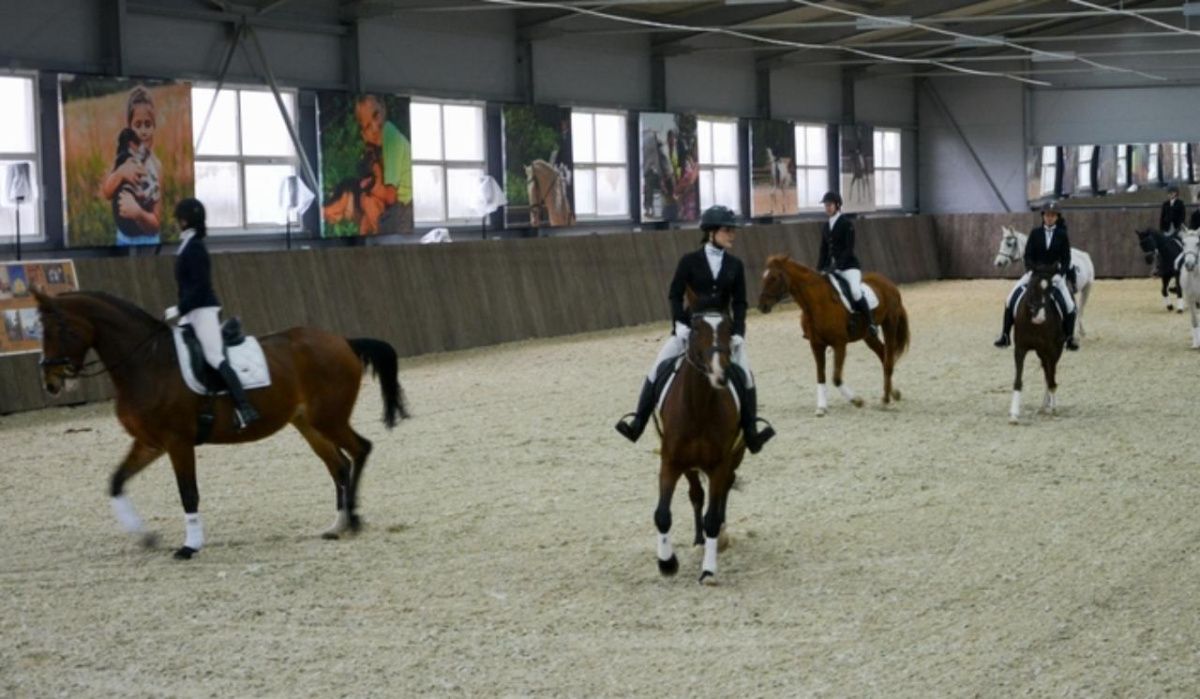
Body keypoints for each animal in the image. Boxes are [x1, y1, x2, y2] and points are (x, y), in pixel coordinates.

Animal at [32, 288, 408, 562]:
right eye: (40, 331)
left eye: (60, 329)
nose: (50, 383)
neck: (148, 363)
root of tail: (343, 340)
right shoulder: (150, 443)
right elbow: (116, 482)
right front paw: (146, 536)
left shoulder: (177, 442)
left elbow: (188, 493)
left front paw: (189, 546)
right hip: (309, 425)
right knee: (339, 464)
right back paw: (338, 524)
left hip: (329, 418)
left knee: (360, 450)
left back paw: (354, 520)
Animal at [657, 312, 739, 586]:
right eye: (694, 330)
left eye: (728, 330)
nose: (720, 374)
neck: (698, 408)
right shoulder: (671, 462)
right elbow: (662, 514)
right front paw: (667, 563)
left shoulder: (719, 464)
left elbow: (711, 518)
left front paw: (709, 571)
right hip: (689, 467)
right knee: (696, 495)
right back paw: (698, 540)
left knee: (723, 489)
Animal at [758, 254, 907, 415]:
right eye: (763, 277)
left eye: (774, 278)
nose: (762, 306)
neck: (816, 303)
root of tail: (887, 282)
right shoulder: (816, 344)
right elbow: (820, 375)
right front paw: (821, 407)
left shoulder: (839, 344)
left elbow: (836, 378)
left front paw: (857, 401)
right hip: (867, 335)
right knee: (882, 354)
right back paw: (894, 393)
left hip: (890, 324)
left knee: (888, 359)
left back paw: (886, 399)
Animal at [1008, 265, 1065, 425]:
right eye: (1032, 288)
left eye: (1051, 290)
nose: (1040, 317)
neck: (1035, 326)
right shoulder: (1020, 349)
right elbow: (1018, 380)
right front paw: (1014, 414)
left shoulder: (1051, 350)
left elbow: (1051, 379)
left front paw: (1053, 409)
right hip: (1041, 353)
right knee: (1046, 372)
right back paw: (1044, 406)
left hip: (1054, 352)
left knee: (1050, 375)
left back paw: (1049, 406)